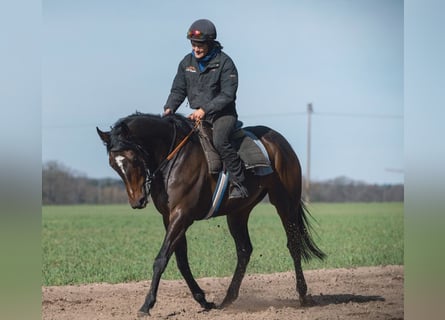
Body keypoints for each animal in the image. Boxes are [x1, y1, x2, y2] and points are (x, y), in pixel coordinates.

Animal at [97, 112, 324, 316]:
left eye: (133, 158)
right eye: (113, 164)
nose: (137, 201)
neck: (174, 158)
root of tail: (280, 141)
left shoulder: (182, 216)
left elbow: (161, 259)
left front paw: (147, 305)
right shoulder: (169, 218)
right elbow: (181, 261)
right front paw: (203, 300)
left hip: (285, 203)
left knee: (293, 244)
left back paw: (303, 295)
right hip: (238, 213)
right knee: (244, 250)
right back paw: (228, 299)